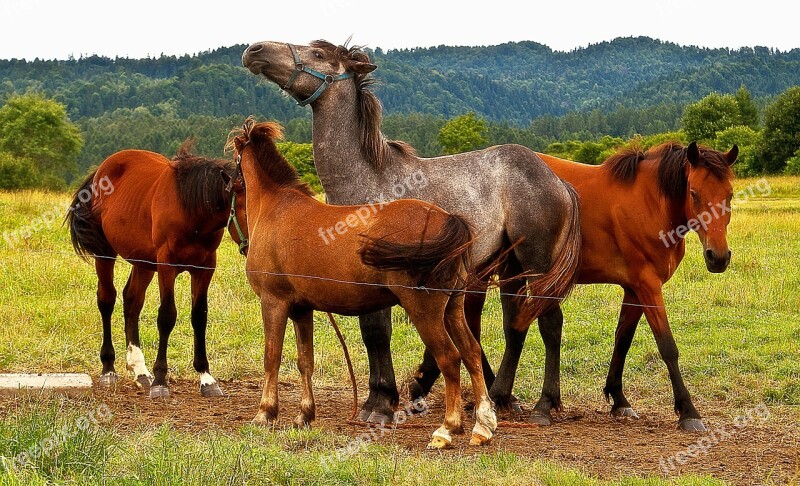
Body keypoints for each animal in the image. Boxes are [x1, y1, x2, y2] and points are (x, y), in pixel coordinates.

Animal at [67, 140, 248, 398]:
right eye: (247, 207)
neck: (191, 209)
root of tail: (100, 171)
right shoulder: (166, 265)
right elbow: (166, 316)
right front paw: (161, 380)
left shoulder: (204, 268)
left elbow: (199, 316)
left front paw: (206, 378)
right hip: (105, 253)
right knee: (107, 300)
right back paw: (109, 369)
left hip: (143, 263)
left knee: (132, 301)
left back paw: (140, 371)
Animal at [228, 119, 496, 450]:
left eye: (232, 179)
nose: (241, 243)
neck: (276, 207)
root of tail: (449, 219)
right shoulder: (302, 309)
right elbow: (305, 361)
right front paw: (304, 415)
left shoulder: (273, 302)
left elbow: (271, 358)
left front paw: (265, 413)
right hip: (453, 308)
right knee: (471, 353)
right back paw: (482, 426)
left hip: (426, 312)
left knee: (450, 358)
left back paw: (447, 428)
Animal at [412, 140, 736, 430]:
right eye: (694, 193)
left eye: (730, 195)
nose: (718, 257)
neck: (649, 202)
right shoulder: (648, 286)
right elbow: (667, 346)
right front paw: (688, 411)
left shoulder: (634, 288)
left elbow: (623, 339)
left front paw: (619, 399)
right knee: (471, 322)